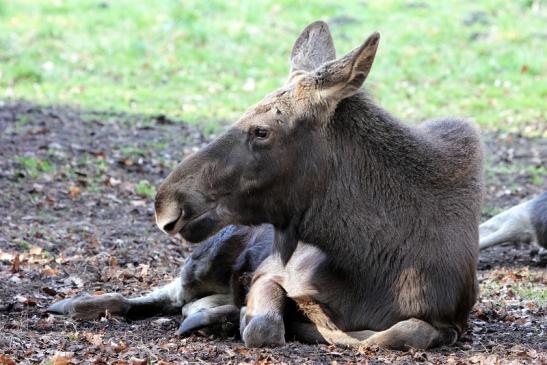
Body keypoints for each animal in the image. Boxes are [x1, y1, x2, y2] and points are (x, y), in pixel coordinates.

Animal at [48, 20, 547, 350]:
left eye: (261, 130)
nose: (165, 203)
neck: (374, 262)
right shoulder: (272, 272)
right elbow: (266, 326)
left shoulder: (451, 320)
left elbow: (397, 334)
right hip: (209, 254)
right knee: (160, 294)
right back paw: (77, 304)